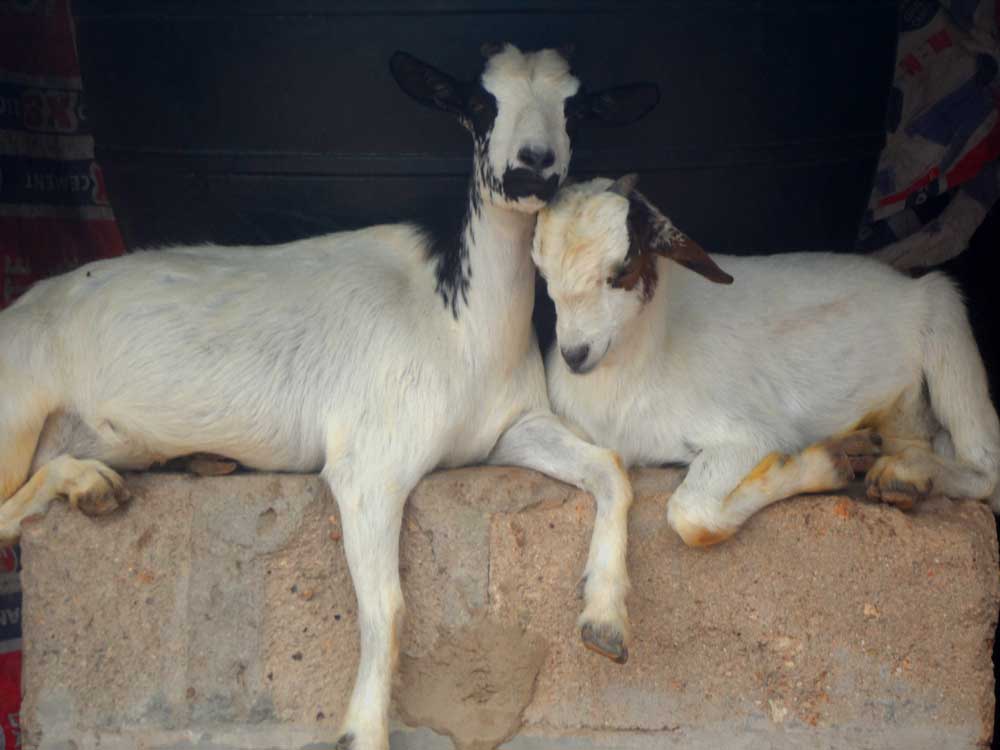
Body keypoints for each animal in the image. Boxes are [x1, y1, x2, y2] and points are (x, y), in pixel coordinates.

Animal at [0, 49, 658, 749]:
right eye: (480, 105)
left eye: (575, 109)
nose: (533, 164)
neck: (461, 328)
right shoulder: (368, 466)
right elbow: (389, 609)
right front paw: (363, 729)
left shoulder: (511, 429)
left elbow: (611, 468)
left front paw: (604, 619)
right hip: (15, 409)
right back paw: (90, 486)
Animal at [532, 174, 1000, 547]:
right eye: (543, 275)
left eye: (622, 268)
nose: (575, 354)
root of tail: (908, 286)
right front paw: (841, 454)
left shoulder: (749, 435)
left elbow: (692, 515)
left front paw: (823, 465)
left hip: (947, 322)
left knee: (987, 465)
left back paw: (903, 475)